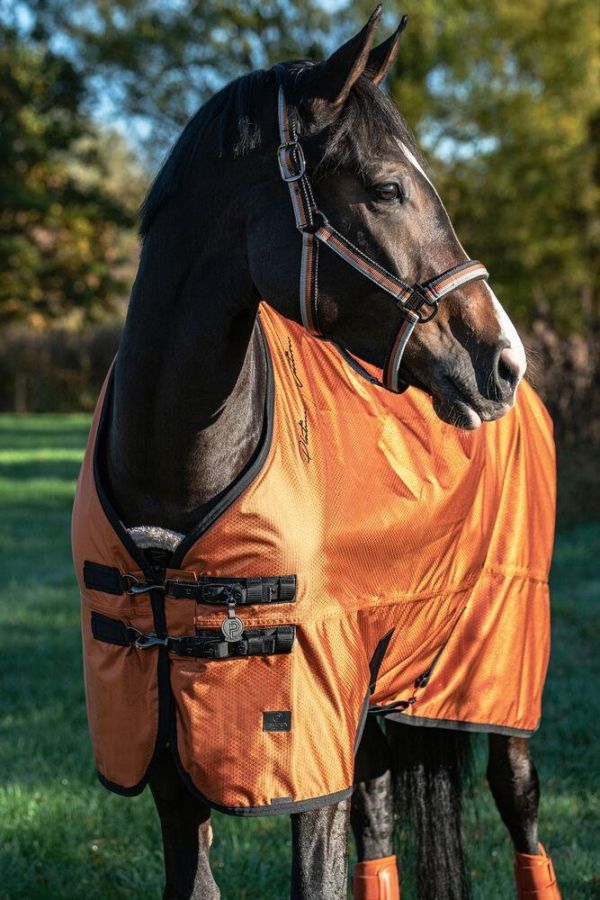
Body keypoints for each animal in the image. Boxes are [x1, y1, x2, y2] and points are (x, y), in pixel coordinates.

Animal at [72, 8, 561, 898]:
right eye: (386, 187)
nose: (502, 360)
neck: (175, 475)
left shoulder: (307, 765)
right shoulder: (170, 765)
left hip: (501, 671)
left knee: (521, 808)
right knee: (381, 818)